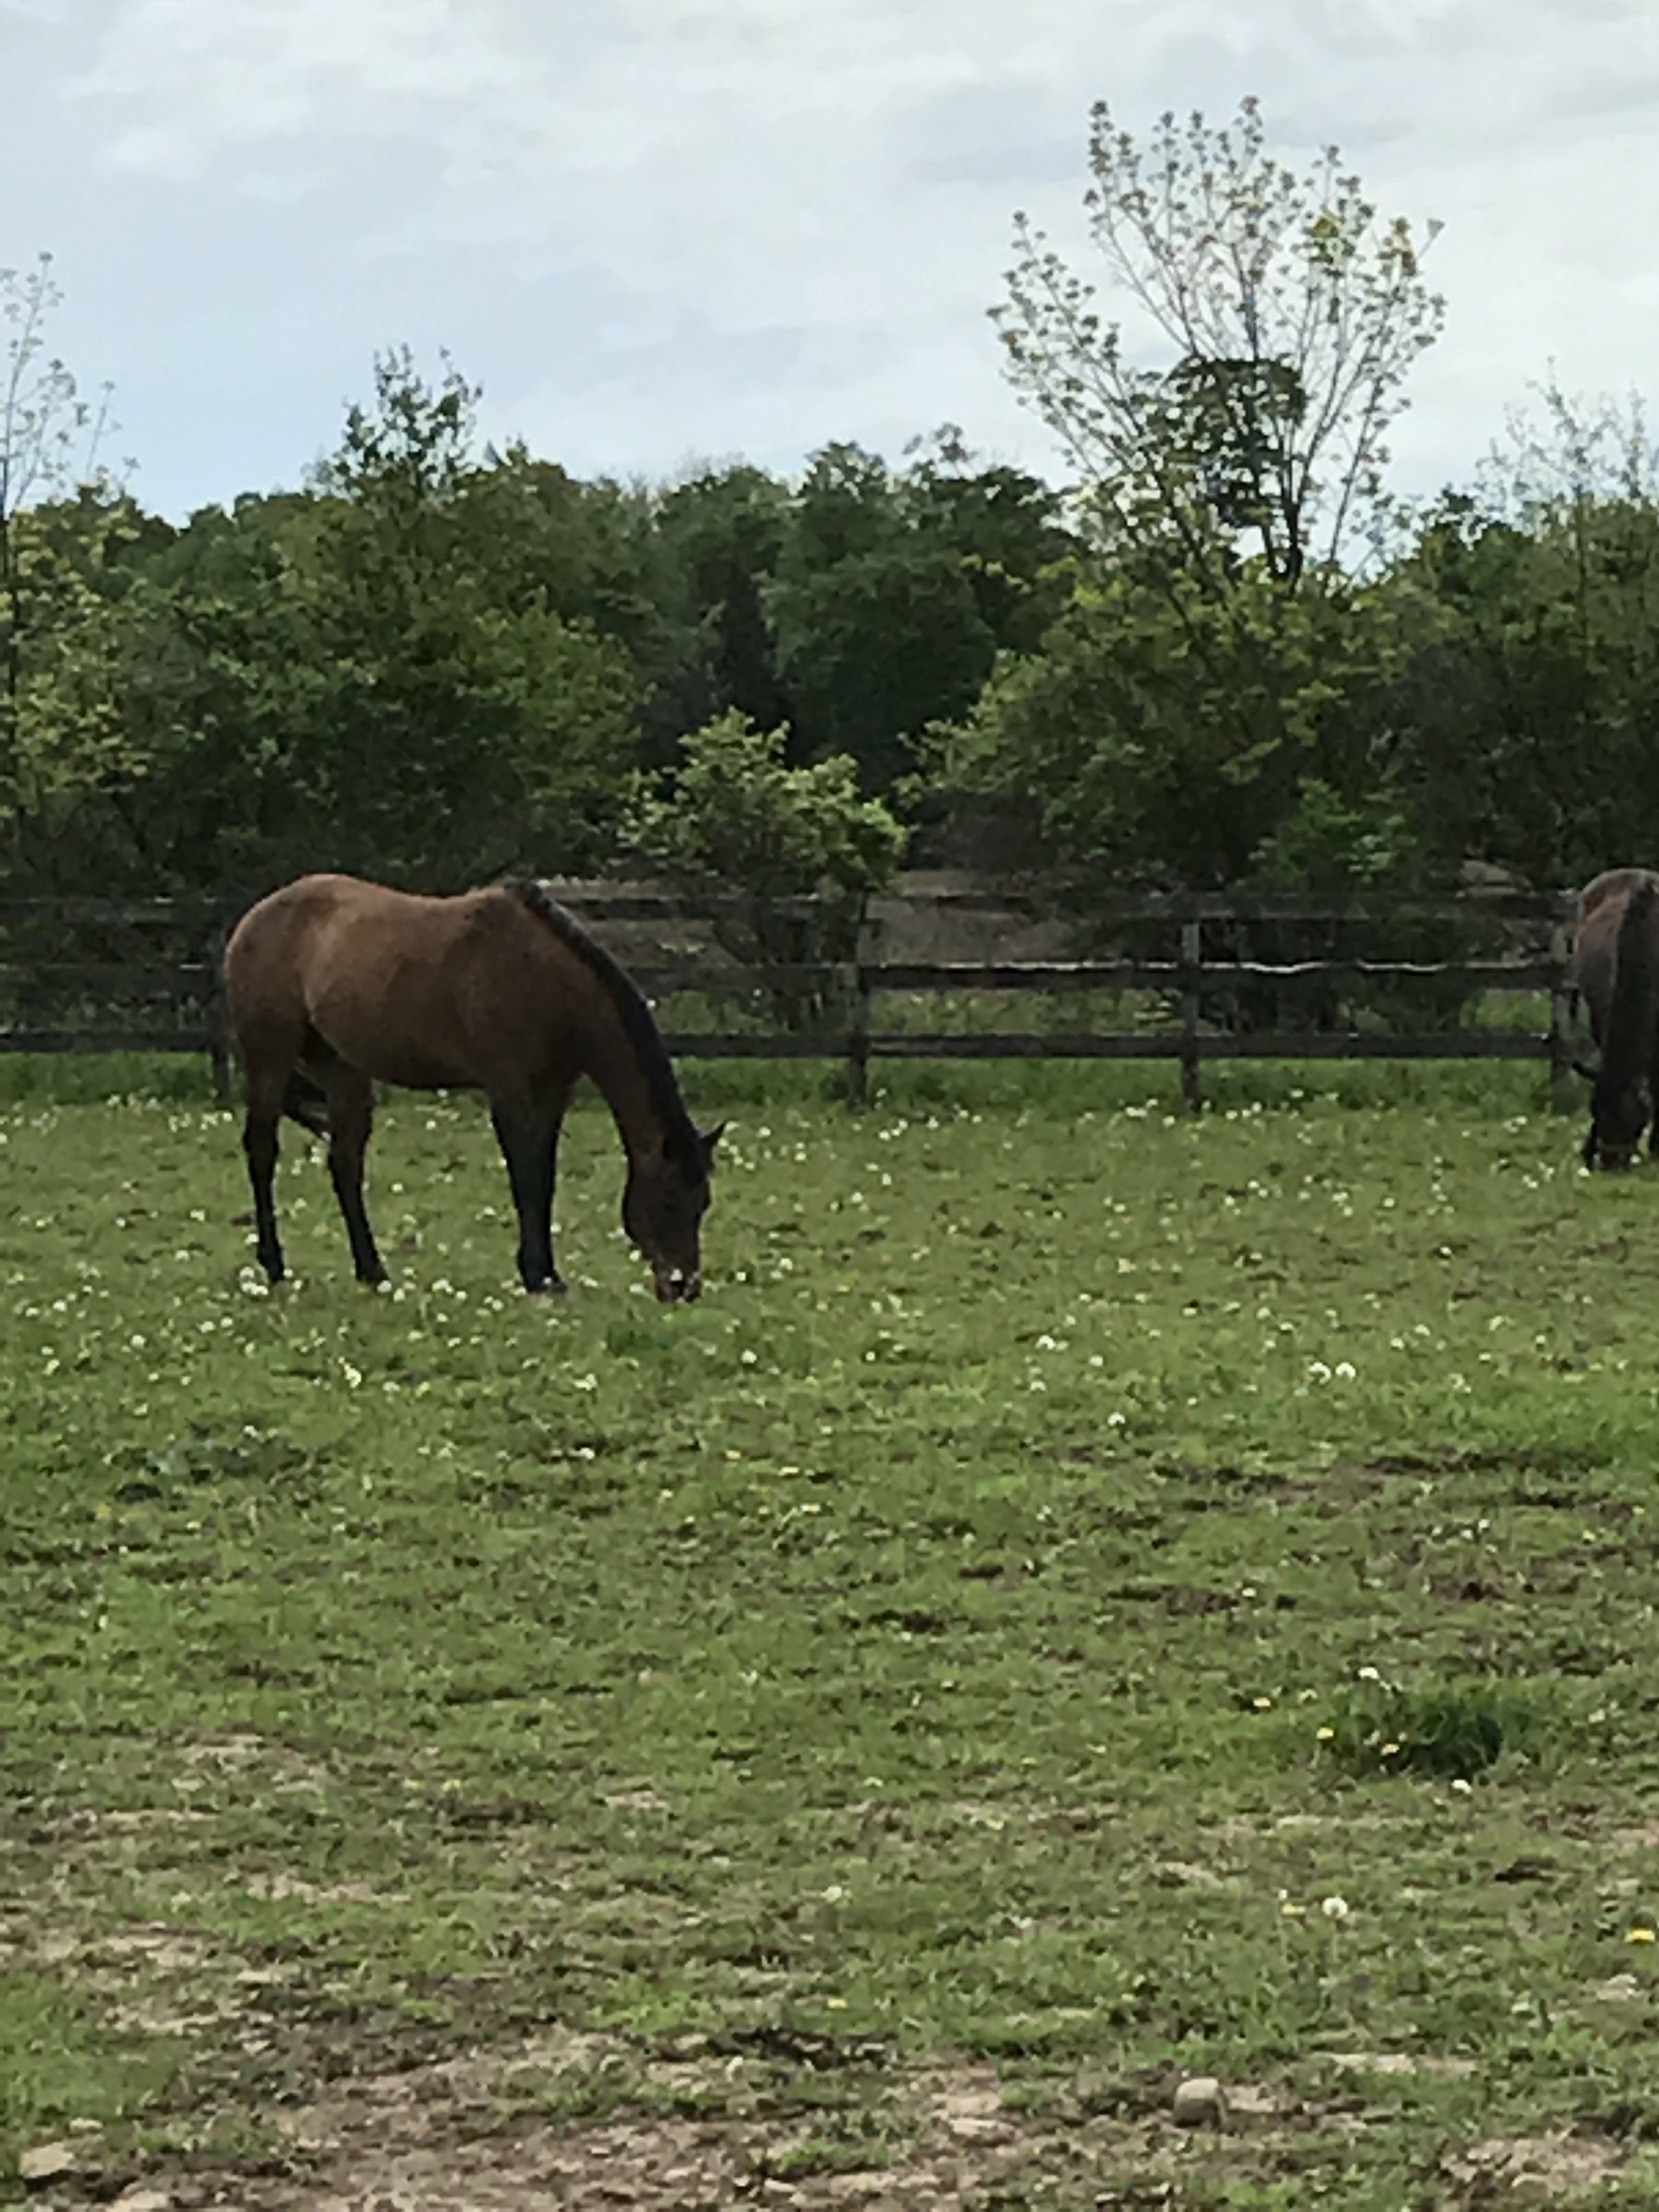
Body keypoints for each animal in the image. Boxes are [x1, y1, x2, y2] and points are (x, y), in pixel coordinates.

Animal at [224, 871, 716, 1291]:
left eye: (703, 1204)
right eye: (669, 1200)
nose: (684, 1286)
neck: (544, 978)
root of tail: (254, 918)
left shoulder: (554, 1091)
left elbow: (546, 1176)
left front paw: (549, 1273)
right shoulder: (508, 1088)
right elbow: (526, 1176)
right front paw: (535, 1274)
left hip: (343, 1069)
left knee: (345, 1162)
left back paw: (372, 1270)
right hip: (270, 1057)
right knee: (262, 1151)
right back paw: (274, 1265)